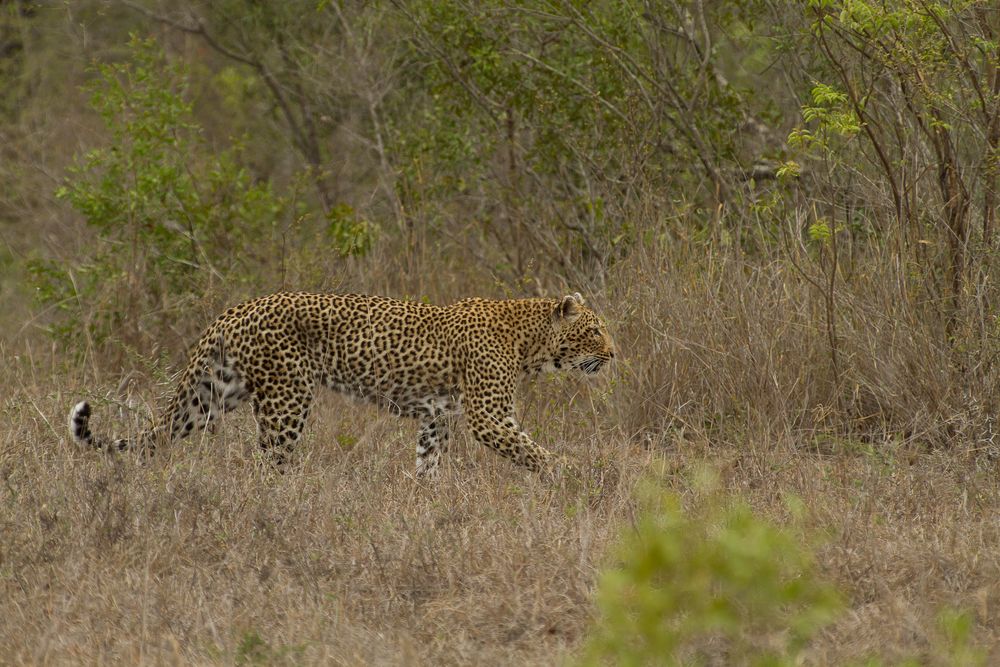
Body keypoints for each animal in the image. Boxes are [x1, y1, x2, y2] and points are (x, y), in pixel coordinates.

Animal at [68, 290, 608, 474]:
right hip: (287, 399)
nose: (615, 354)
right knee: (268, 465)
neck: (531, 343)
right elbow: (533, 452)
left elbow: (428, 467)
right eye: (596, 330)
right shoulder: (489, 416)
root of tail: (234, 310)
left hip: (214, 397)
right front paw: (574, 475)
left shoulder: (440, 418)